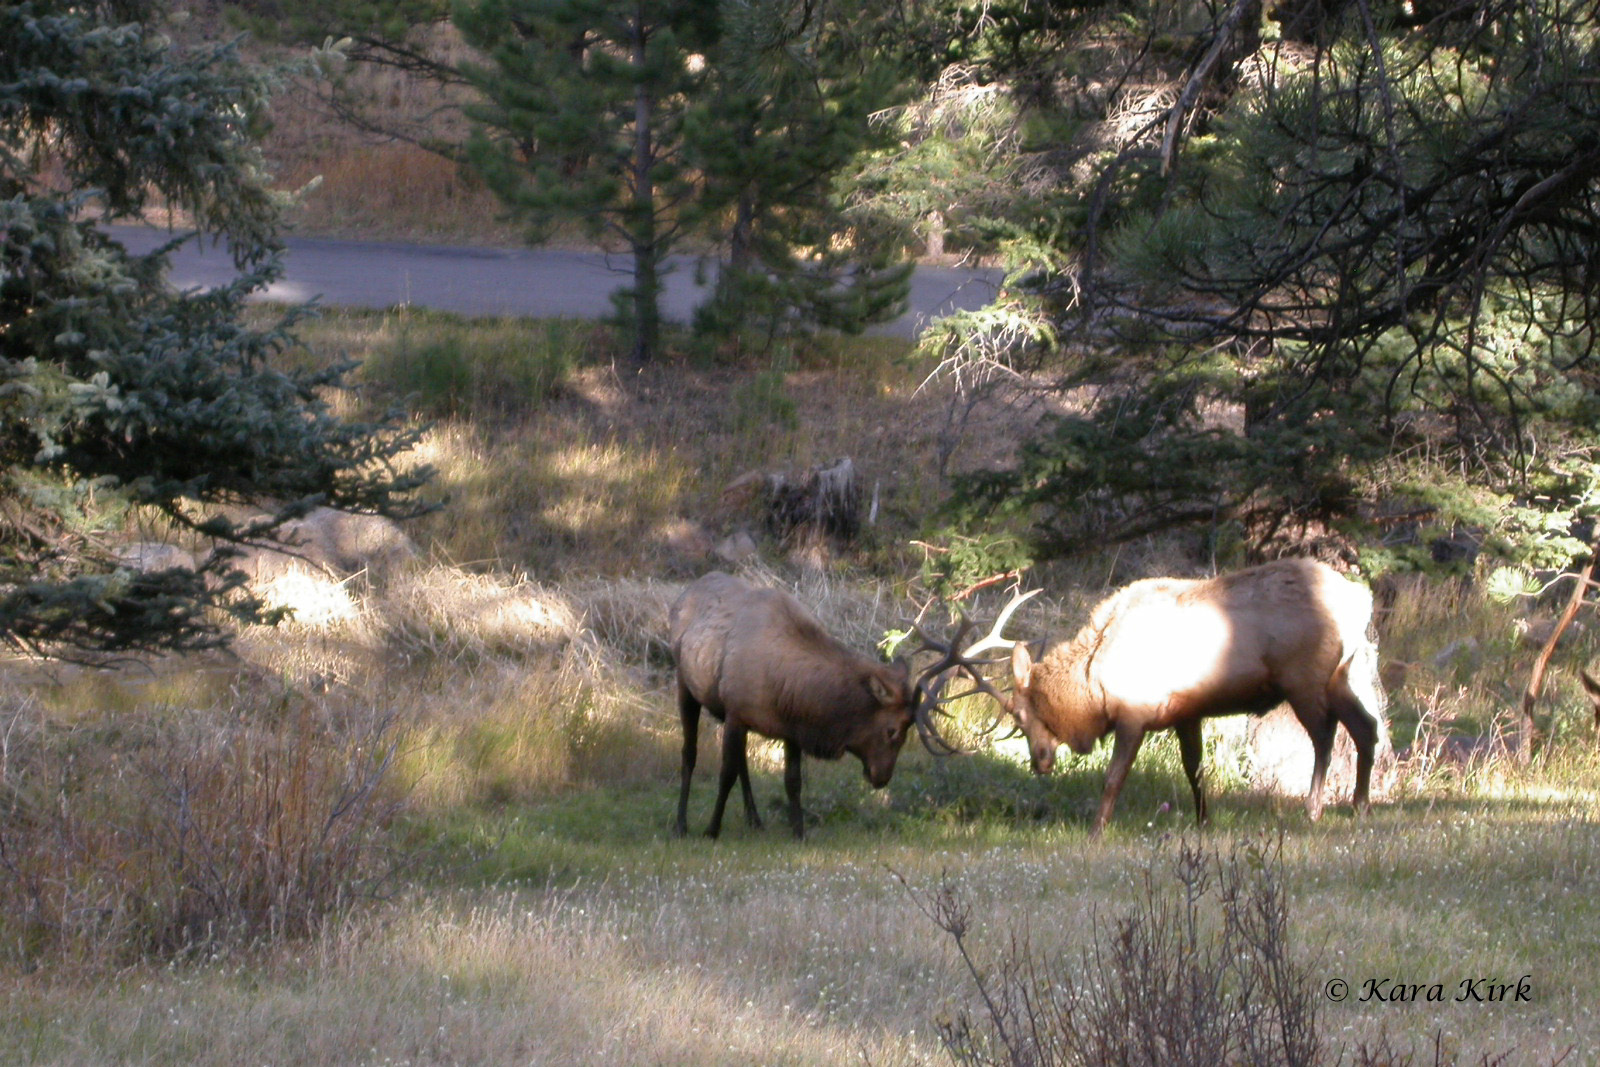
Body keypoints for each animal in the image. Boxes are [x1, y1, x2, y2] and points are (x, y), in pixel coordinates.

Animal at [671, 571, 992, 839]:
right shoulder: (737, 713)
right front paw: (712, 830)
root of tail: (687, 590)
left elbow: (792, 781)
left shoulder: (790, 729)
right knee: (689, 753)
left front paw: (799, 832)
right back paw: (681, 824)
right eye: (892, 730)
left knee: (743, 763)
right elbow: (725, 774)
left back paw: (755, 819)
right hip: (686, 685)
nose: (882, 778)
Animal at [981, 559, 1384, 835]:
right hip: (1339, 675)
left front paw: (1097, 829)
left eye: (1019, 715)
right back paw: (1361, 805)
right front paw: (1205, 821)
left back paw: (1314, 809)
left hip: (1304, 677)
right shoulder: (1186, 712)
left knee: (1326, 735)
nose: (1039, 761)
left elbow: (1114, 777)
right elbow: (1196, 770)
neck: (1092, 688)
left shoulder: (1134, 713)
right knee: (1367, 727)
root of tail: (1360, 602)